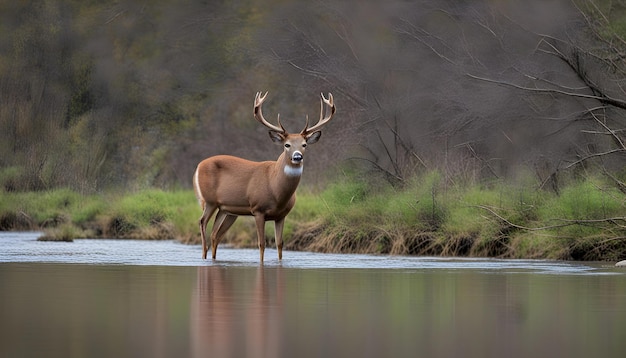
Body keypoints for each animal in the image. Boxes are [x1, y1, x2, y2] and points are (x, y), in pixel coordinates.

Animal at [191, 91, 334, 262]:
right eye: (287, 145)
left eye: (304, 144)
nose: (297, 157)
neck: (276, 190)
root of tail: (198, 166)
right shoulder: (258, 210)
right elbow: (262, 244)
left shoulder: (281, 215)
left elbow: (279, 244)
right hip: (209, 201)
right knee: (202, 223)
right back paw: (203, 257)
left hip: (227, 210)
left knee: (215, 234)